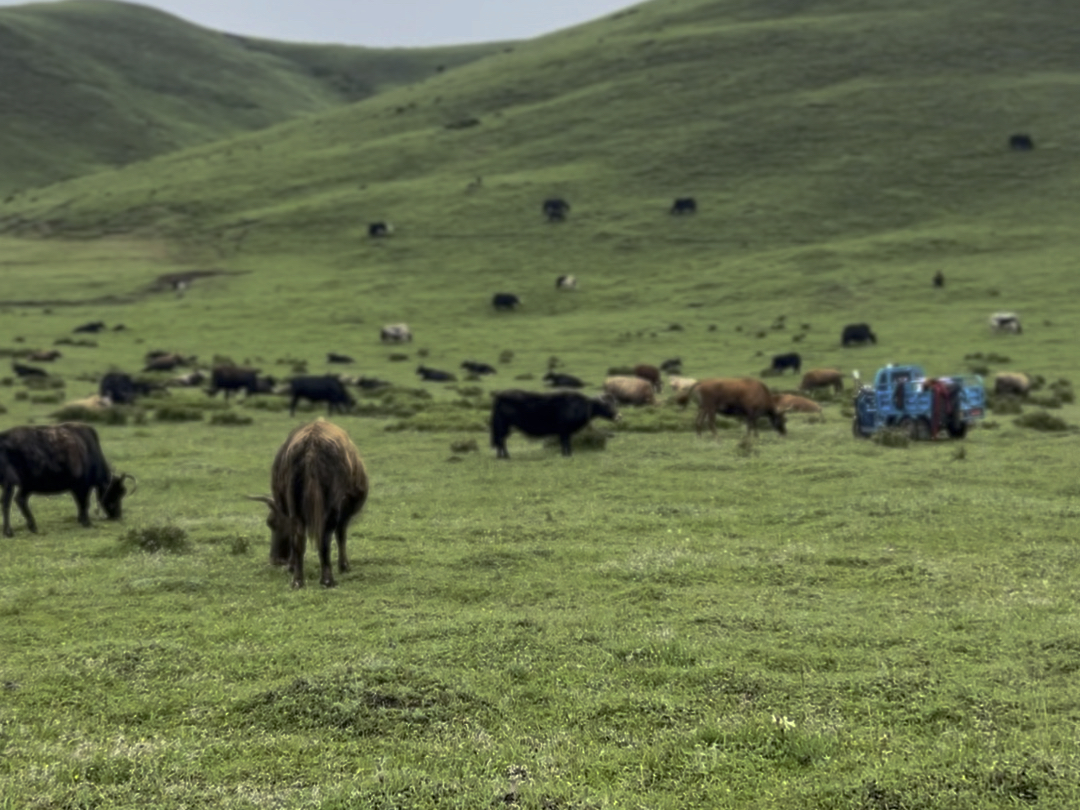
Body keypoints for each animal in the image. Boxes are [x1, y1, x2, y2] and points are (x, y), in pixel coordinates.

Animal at [0, 425, 135, 540]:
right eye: (116, 492)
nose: (117, 515)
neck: (88, 449)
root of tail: (3, 437)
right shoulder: (83, 487)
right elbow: (84, 503)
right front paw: (87, 522)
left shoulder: (75, 488)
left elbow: (79, 503)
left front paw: (81, 519)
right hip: (11, 484)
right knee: (7, 503)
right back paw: (9, 532)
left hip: (25, 486)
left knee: (20, 500)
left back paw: (32, 527)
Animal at [248, 419, 371, 591]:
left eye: (271, 523)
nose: (275, 560)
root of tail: (312, 443)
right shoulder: (344, 512)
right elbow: (341, 536)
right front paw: (344, 566)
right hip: (331, 507)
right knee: (325, 537)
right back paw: (327, 580)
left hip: (295, 505)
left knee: (299, 538)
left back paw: (298, 581)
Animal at [488, 390, 617, 460]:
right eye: (606, 405)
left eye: (613, 403)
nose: (618, 415)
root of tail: (499, 397)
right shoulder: (565, 431)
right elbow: (566, 442)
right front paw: (568, 454)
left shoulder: (564, 432)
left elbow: (565, 443)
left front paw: (566, 454)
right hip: (504, 425)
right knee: (501, 440)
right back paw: (505, 456)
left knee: (501, 440)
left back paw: (502, 456)